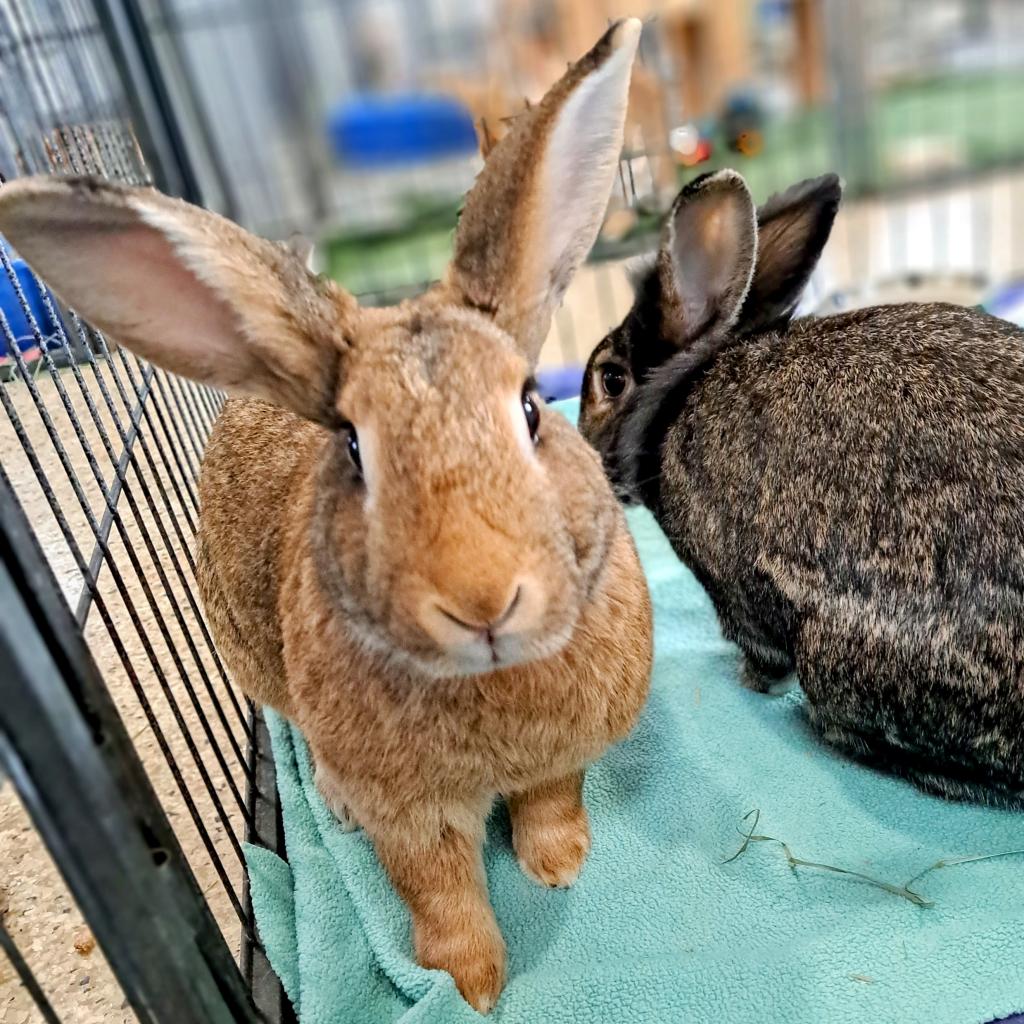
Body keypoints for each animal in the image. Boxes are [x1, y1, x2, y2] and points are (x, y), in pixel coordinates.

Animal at [0, 19, 651, 1011]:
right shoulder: (411, 818)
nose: (483, 598)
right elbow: (439, 894)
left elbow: (550, 805)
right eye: (352, 448)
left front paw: (558, 868)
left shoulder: (559, 761)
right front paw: (470, 988)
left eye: (533, 409)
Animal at [581, 169, 1019, 806]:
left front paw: (748, 681)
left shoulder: (728, 585)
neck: (677, 398)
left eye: (611, 379)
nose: (587, 457)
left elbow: (756, 648)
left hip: (839, 659)